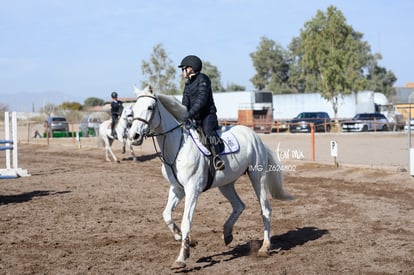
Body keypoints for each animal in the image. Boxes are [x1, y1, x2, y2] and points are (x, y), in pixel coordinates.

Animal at [128, 87, 292, 270]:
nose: (134, 136)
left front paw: (181, 258)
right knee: (239, 205)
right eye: (132, 110)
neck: (177, 146)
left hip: (258, 177)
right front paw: (185, 240)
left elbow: (186, 221)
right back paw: (227, 234)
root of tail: (255, 136)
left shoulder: (192, 190)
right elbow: (167, 215)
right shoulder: (177, 189)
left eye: (150, 107)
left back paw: (265, 247)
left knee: (265, 210)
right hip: (226, 184)